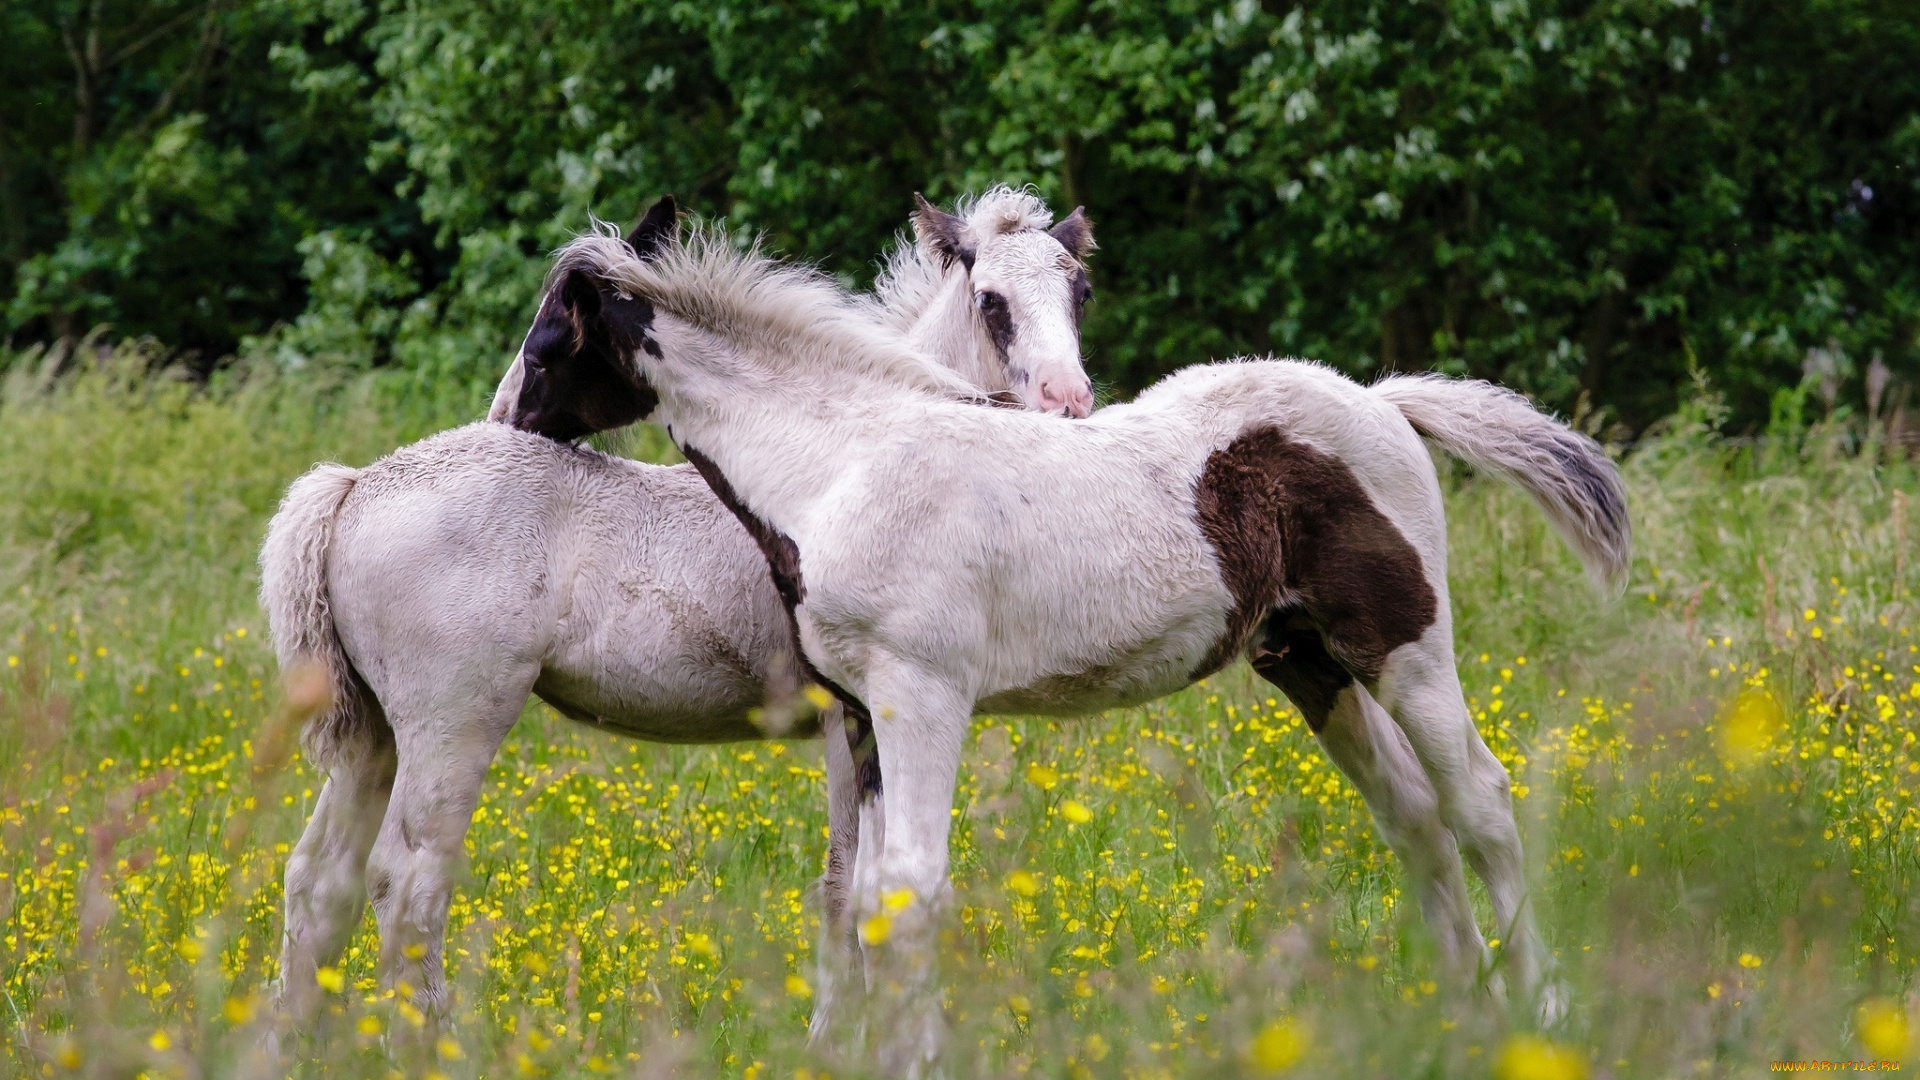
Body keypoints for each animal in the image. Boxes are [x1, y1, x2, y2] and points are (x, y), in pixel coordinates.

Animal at [259, 187, 1098, 1022]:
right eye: (991, 300)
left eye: (1080, 292)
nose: (1068, 402)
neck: (838, 460)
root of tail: (352, 486)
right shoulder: (851, 718)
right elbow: (845, 884)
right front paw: (835, 1029)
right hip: (453, 724)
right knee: (407, 883)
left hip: (372, 734)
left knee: (318, 881)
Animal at [556, 231, 1635, 1060]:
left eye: (552, 334)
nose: (519, 418)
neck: (845, 462)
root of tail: (1382, 400)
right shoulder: (862, 714)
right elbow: (865, 893)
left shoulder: (923, 695)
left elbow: (910, 888)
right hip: (1307, 660)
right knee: (1413, 816)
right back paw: (1461, 1013)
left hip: (1404, 647)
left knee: (1480, 802)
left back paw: (1543, 1008)